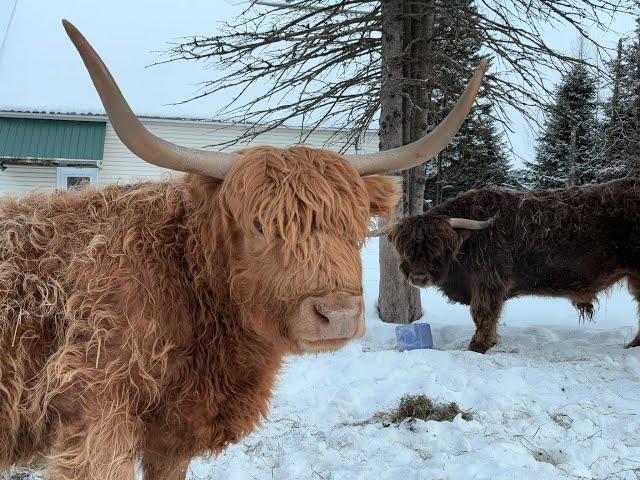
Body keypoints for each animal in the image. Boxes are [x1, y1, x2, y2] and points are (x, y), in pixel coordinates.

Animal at [390, 178, 640, 354]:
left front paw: (478, 346)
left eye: (438, 245)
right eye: (406, 247)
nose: (419, 278)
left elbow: (483, 314)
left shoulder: (488, 282)